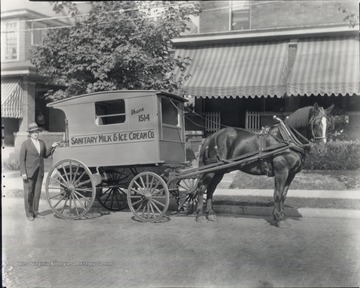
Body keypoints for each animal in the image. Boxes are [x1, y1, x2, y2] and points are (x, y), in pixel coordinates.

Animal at [195, 103, 334, 227]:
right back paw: (200, 215)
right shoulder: (281, 172)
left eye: (329, 126)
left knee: (211, 189)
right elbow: (277, 194)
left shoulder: (291, 174)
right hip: (212, 170)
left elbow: (284, 195)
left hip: (220, 171)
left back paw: (211, 213)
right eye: (315, 124)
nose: (322, 150)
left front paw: (281, 215)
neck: (287, 140)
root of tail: (212, 136)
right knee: (202, 188)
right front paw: (279, 219)